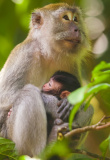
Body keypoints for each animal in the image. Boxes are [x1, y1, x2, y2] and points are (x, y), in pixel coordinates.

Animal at [0, 2, 93, 156]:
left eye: (76, 19)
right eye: (66, 18)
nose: (77, 29)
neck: (48, 52)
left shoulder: (71, 62)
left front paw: (71, 102)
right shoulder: (25, 52)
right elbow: (5, 97)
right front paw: (54, 103)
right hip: (8, 137)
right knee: (28, 92)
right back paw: (40, 152)